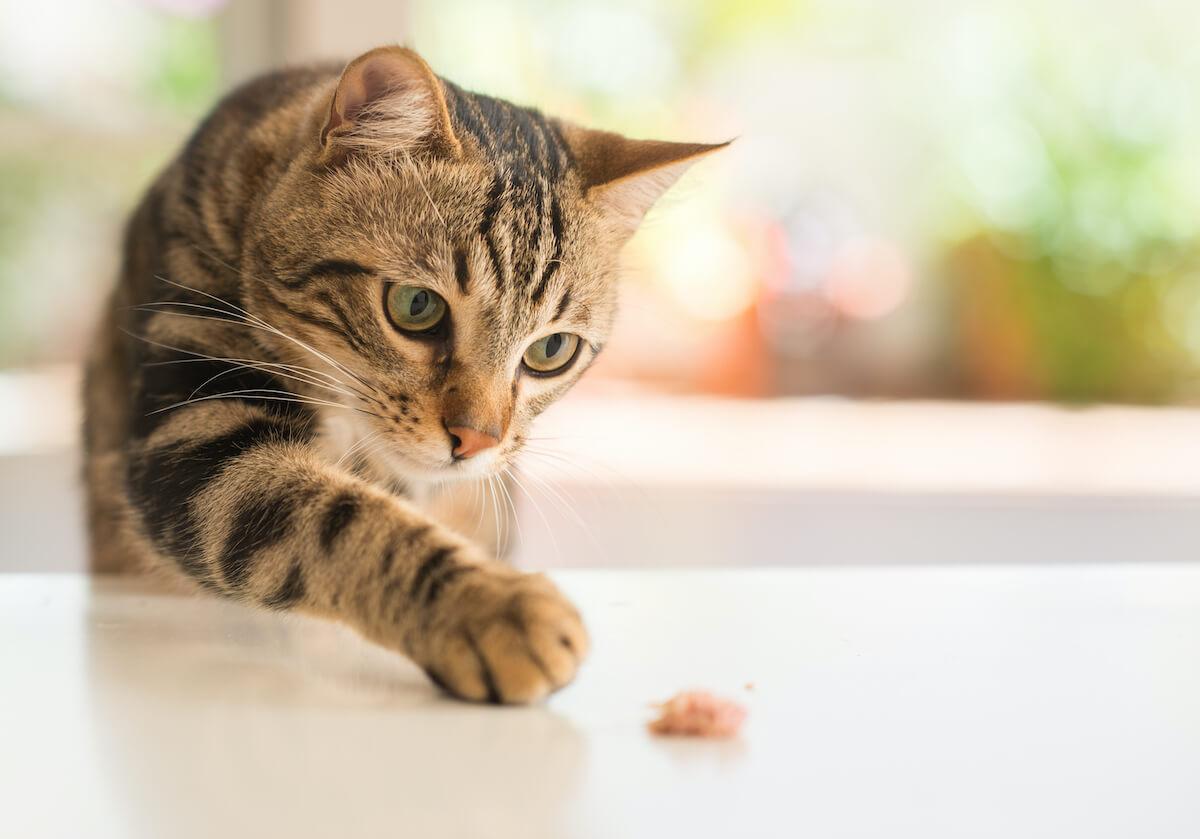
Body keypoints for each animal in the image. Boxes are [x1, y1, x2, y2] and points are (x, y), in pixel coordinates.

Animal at [87, 45, 720, 700]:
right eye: (417, 306)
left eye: (552, 350)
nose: (477, 440)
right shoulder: (196, 421)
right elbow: (336, 520)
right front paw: (491, 604)